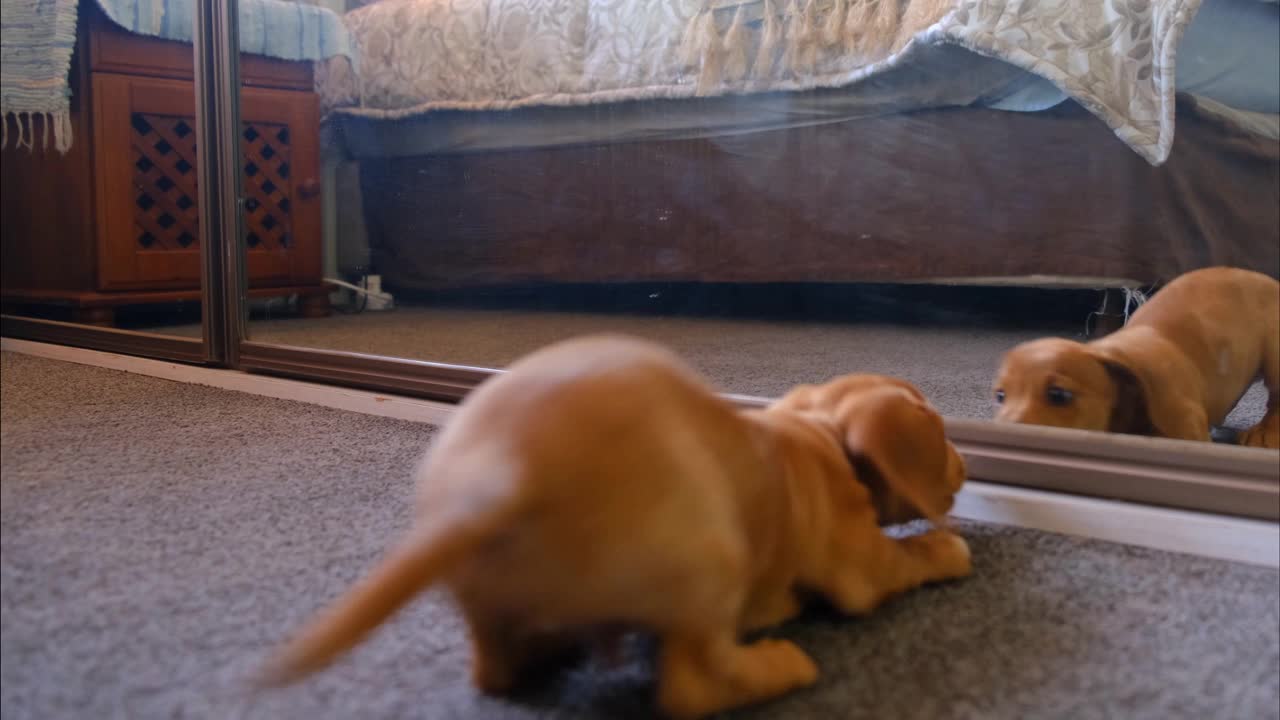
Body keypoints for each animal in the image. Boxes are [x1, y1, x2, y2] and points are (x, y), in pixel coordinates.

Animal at [257, 333, 967, 712]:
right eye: (941, 434)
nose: (963, 462)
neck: (817, 435)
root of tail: (498, 483)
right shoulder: (859, 563)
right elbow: (904, 559)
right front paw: (948, 548)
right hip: (712, 563)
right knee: (693, 684)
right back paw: (780, 666)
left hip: (490, 605)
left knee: (499, 669)